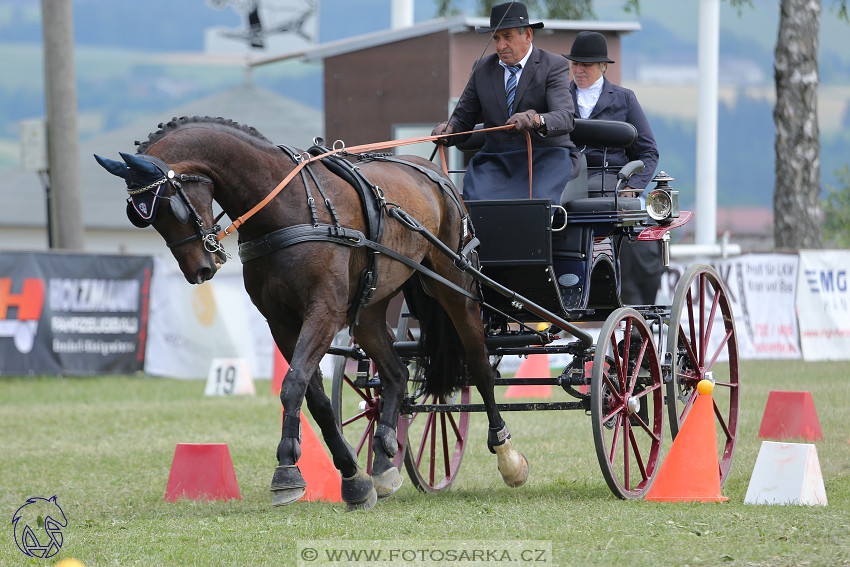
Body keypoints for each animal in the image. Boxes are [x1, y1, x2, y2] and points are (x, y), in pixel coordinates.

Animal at [93, 114, 524, 510]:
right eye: (143, 217)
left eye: (171, 207)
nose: (200, 269)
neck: (288, 209)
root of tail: (436, 173)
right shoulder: (282, 322)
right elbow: (313, 397)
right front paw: (353, 478)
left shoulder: (324, 312)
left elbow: (293, 383)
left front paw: (287, 469)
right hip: (369, 310)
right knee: (397, 374)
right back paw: (384, 459)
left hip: (454, 287)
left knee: (479, 364)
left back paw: (506, 453)